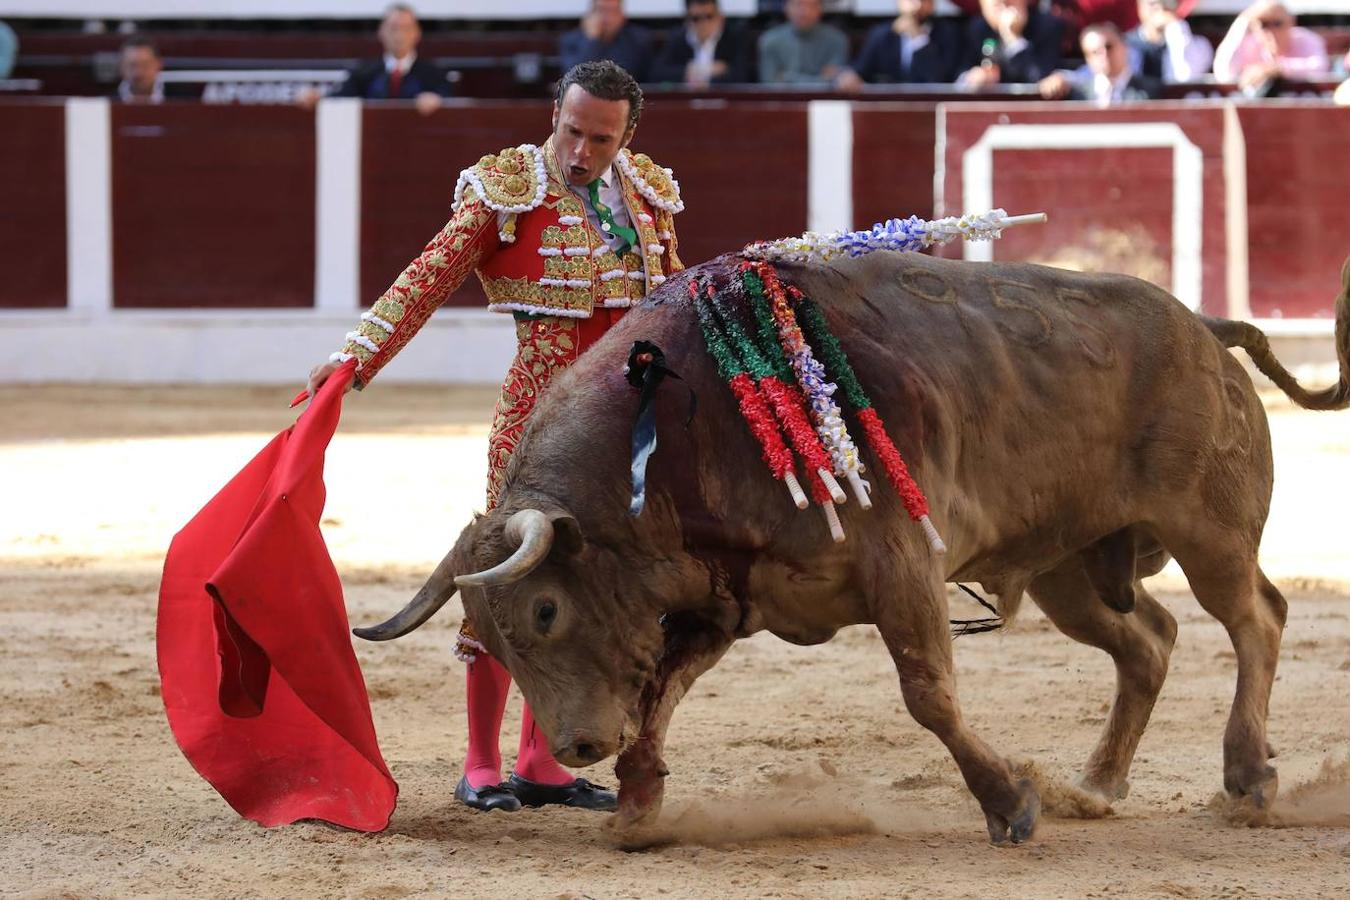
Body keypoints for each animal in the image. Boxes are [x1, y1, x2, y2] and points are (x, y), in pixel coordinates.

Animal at [351, 252, 1350, 847]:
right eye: (498, 639)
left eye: (546, 609)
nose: (579, 744)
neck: (682, 414)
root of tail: (1204, 329)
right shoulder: (724, 596)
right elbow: (663, 689)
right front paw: (637, 805)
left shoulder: (900, 561)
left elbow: (928, 691)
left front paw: (1009, 803)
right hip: (1070, 568)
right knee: (1149, 642)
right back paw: (1098, 785)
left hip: (1205, 527)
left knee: (1257, 617)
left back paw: (1247, 778)